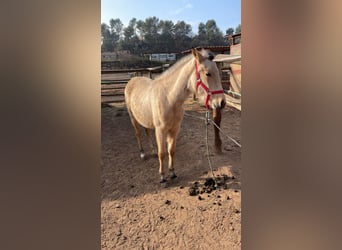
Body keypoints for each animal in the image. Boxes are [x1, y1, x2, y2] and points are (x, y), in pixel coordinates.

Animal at [124, 48, 226, 183]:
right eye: (208, 74)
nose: (222, 102)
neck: (169, 98)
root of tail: (132, 80)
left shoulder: (175, 129)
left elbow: (171, 151)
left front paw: (172, 173)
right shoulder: (160, 130)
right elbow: (162, 153)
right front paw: (162, 176)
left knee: (147, 132)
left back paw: (152, 150)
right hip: (133, 118)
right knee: (138, 134)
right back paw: (142, 153)